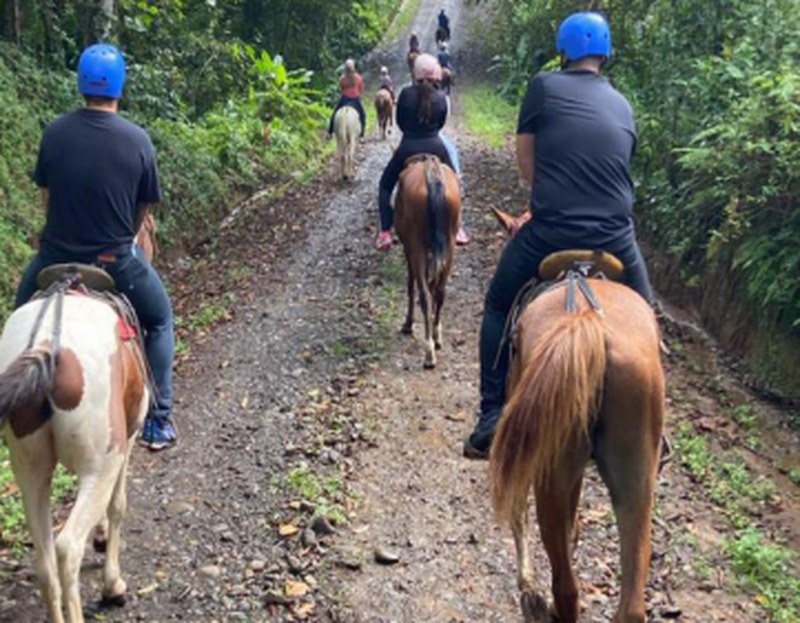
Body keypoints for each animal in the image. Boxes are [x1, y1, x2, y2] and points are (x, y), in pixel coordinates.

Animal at [0, 219, 158, 623]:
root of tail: (48, 348)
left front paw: (99, 535)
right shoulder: (125, 442)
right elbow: (117, 505)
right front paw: (113, 583)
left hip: (29, 468)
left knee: (44, 562)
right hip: (101, 462)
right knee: (67, 548)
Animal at [395, 155, 461, 368]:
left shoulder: (409, 247)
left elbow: (411, 284)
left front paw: (408, 324)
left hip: (417, 247)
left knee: (424, 293)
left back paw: (428, 352)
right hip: (450, 245)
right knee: (439, 292)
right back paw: (436, 337)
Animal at [487, 210, 665, 623]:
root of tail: (592, 327)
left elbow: (517, 511)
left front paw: (527, 586)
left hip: (549, 469)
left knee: (567, 589)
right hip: (637, 478)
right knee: (631, 605)